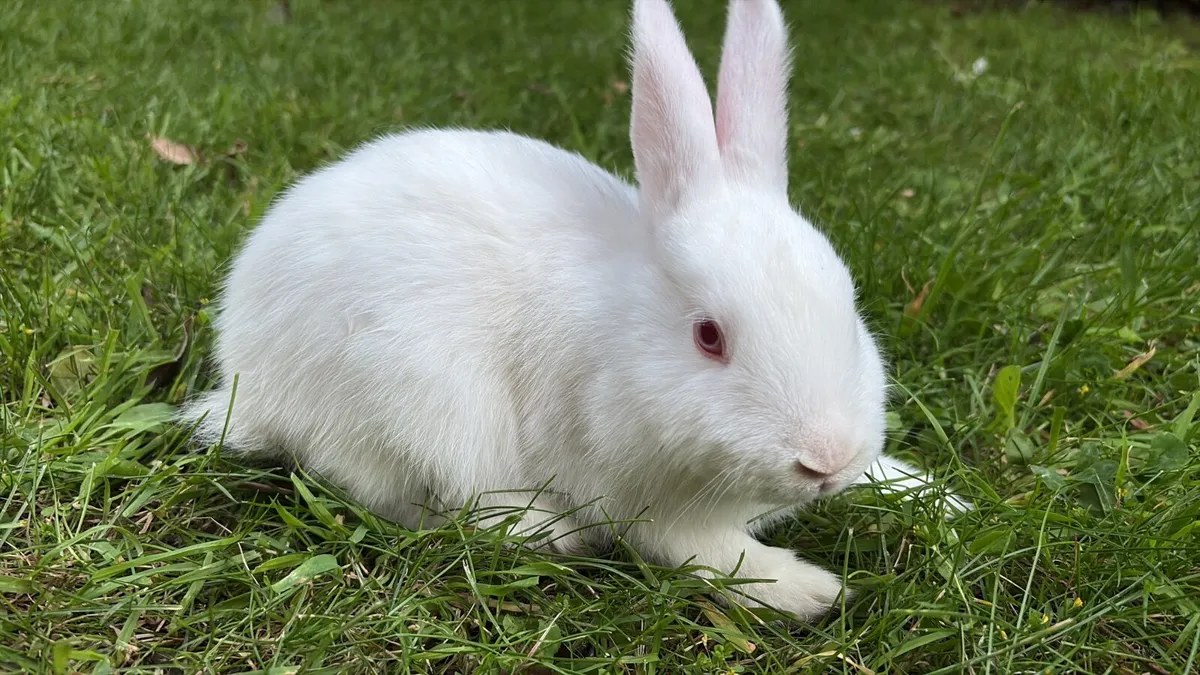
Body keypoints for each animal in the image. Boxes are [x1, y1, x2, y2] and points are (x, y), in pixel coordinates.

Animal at [179, 0, 971, 621]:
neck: (621, 331)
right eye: (708, 337)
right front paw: (810, 590)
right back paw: (543, 529)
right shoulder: (639, 494)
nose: (826, 460)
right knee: (397, 494)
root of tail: (246, 373)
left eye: (849, 304)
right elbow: (709, 551)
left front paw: (941, 499)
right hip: (409, 401)